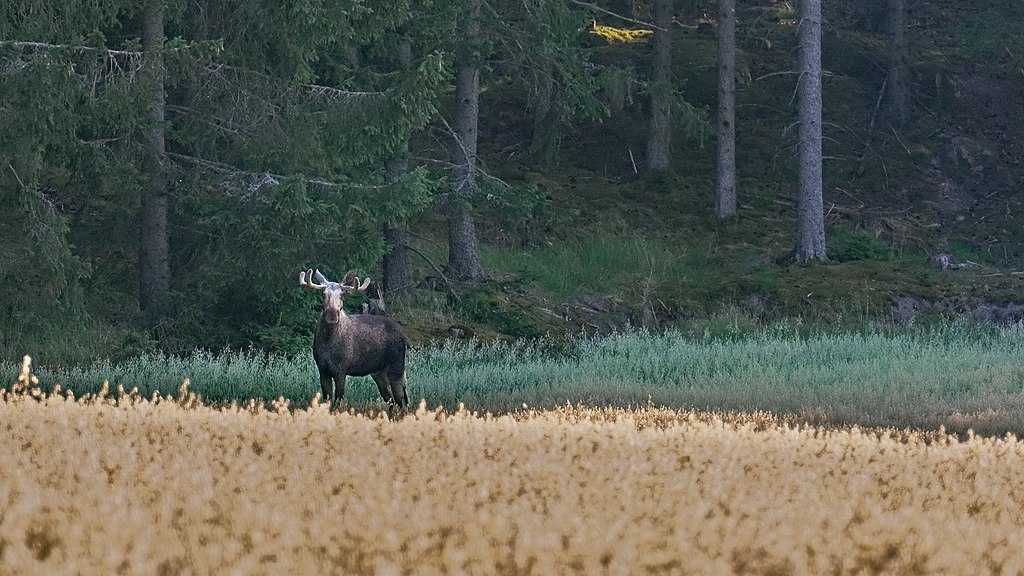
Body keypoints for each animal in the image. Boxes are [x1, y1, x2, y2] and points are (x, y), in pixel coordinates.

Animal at [299, 268, 409, 408]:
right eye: (323, 294)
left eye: (342, 295)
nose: (331, 315)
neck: (328, 340)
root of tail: (402, 333)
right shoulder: (323, 370)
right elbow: (326, 400)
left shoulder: (341, 370)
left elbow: (338, 400)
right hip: (378, 373)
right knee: (391, 401)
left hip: (397, 368)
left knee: (402, 401)